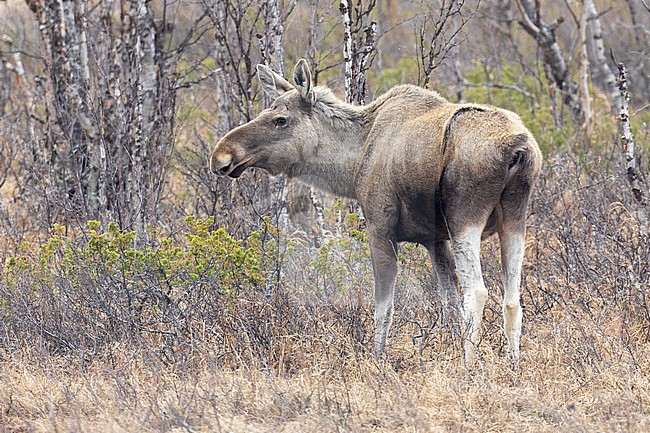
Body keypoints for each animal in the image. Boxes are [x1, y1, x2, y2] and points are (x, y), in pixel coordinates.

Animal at [210, 59, 542, 367]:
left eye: (280, 119)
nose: (221, 154)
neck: (351, 163)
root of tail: (518, 149)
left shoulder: (381, 227)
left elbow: (384, 308)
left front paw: (377, 359)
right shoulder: (435, 240)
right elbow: (448, 305)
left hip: (465, 217)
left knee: (478, 292)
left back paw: (468, 367)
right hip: (514, 218)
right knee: (512, 299)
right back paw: (513, 364)